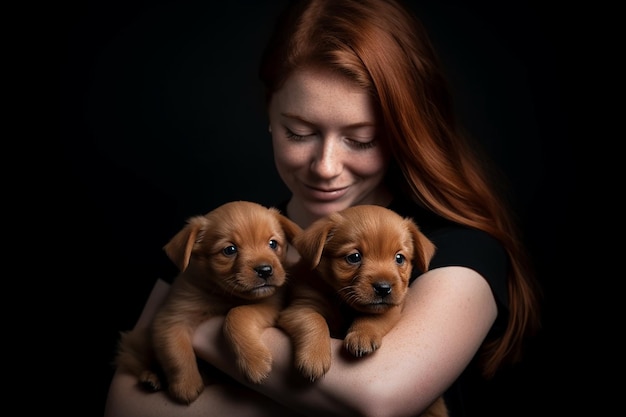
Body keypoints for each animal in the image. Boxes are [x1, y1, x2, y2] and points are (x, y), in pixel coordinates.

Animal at [116, 202, 304, 404]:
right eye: (230, 250)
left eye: (273, 244)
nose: (265, 270)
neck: (226, 295)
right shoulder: (172, 317)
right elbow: (175, 351)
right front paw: (186, 384)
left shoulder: (271, 303)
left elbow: (237, 313)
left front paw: (254, 362)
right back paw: (152, 377)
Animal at [276, 205, 446, 416]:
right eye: (354, 257)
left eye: (399, 258)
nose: (383, 288)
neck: (343, 303)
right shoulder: (299, 307)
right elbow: (314, 320)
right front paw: (314, 357)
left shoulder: (392, 309)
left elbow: (371, 318)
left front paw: (361, 336)